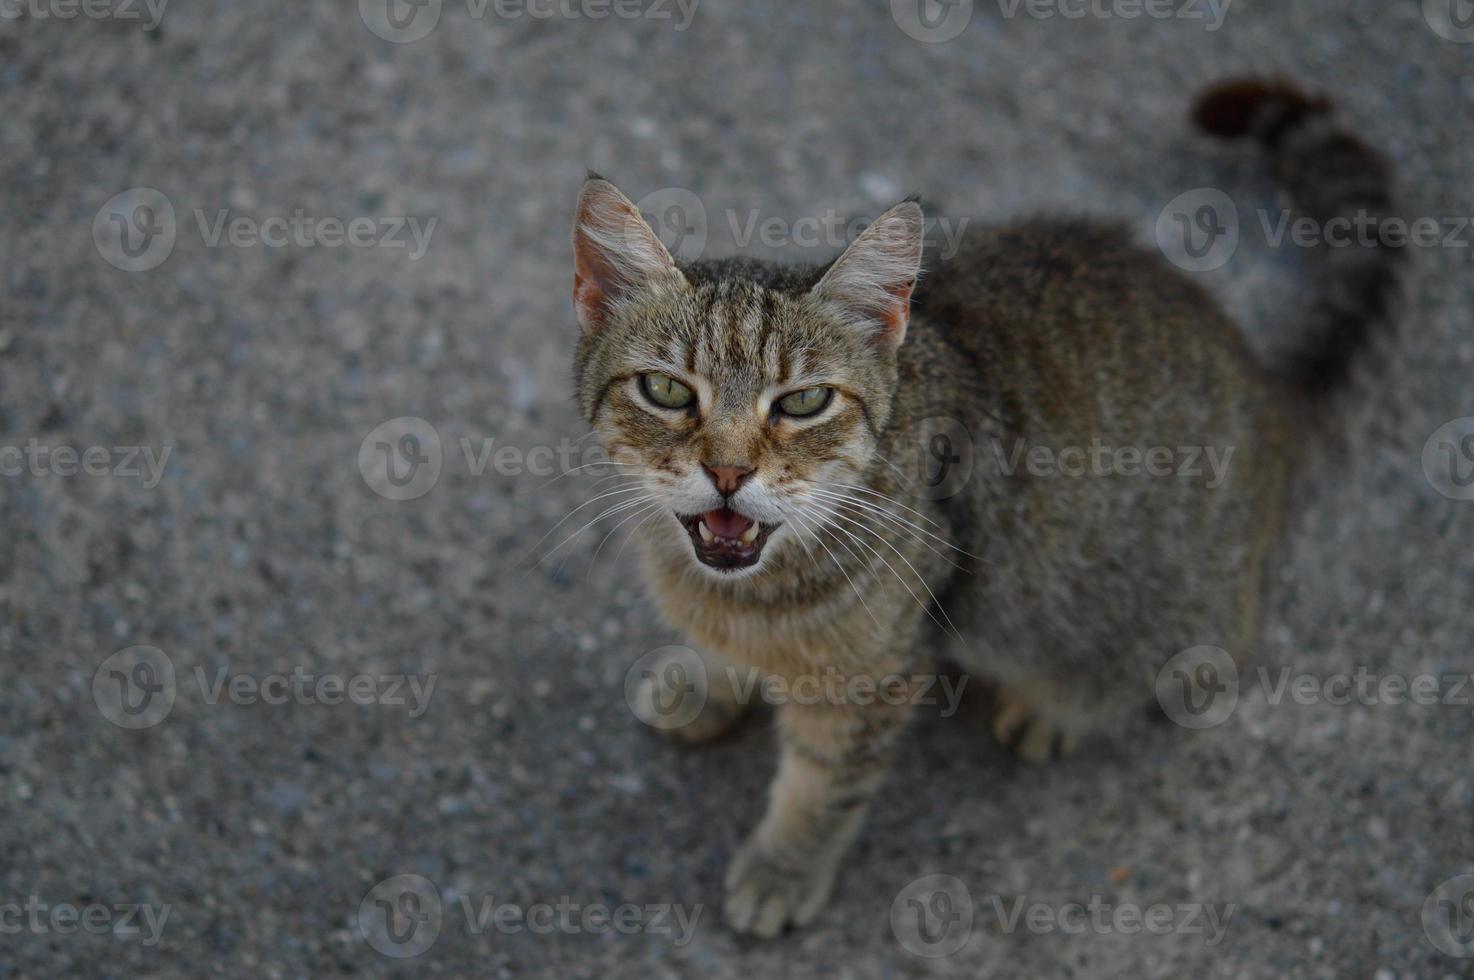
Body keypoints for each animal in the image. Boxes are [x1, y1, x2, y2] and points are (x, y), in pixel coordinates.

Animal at [563, 80, 1403, 937]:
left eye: (802, 402)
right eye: (666, 390)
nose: (728, 471)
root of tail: (1263, 386)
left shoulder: (875, 677)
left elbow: (822, 787)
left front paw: (783, 867)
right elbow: (727, 652)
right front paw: (708, 681)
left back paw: (1059, 709)